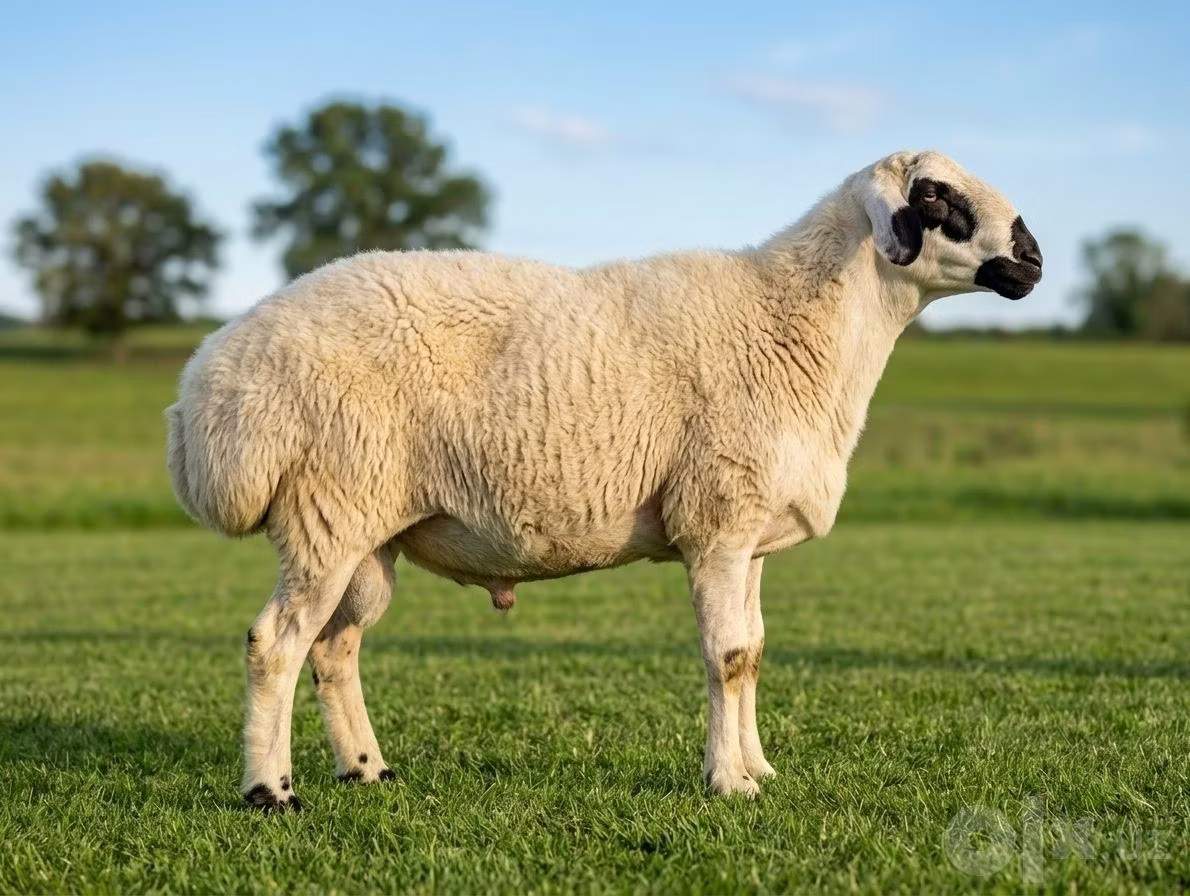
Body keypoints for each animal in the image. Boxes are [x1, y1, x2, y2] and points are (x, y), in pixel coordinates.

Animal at [166, 149, 1042, 810]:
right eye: (934, 195)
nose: (1032, 259)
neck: (799, 324)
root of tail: (205, 394)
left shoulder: (751, 536)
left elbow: (755, 652)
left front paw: (758, 767)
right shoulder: (717, 522)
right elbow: (726, 655)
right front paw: (728, 784)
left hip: (365, 533)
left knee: (334, 648)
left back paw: (368, 770)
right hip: (328, 509)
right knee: (275, 644)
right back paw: (270, 792)